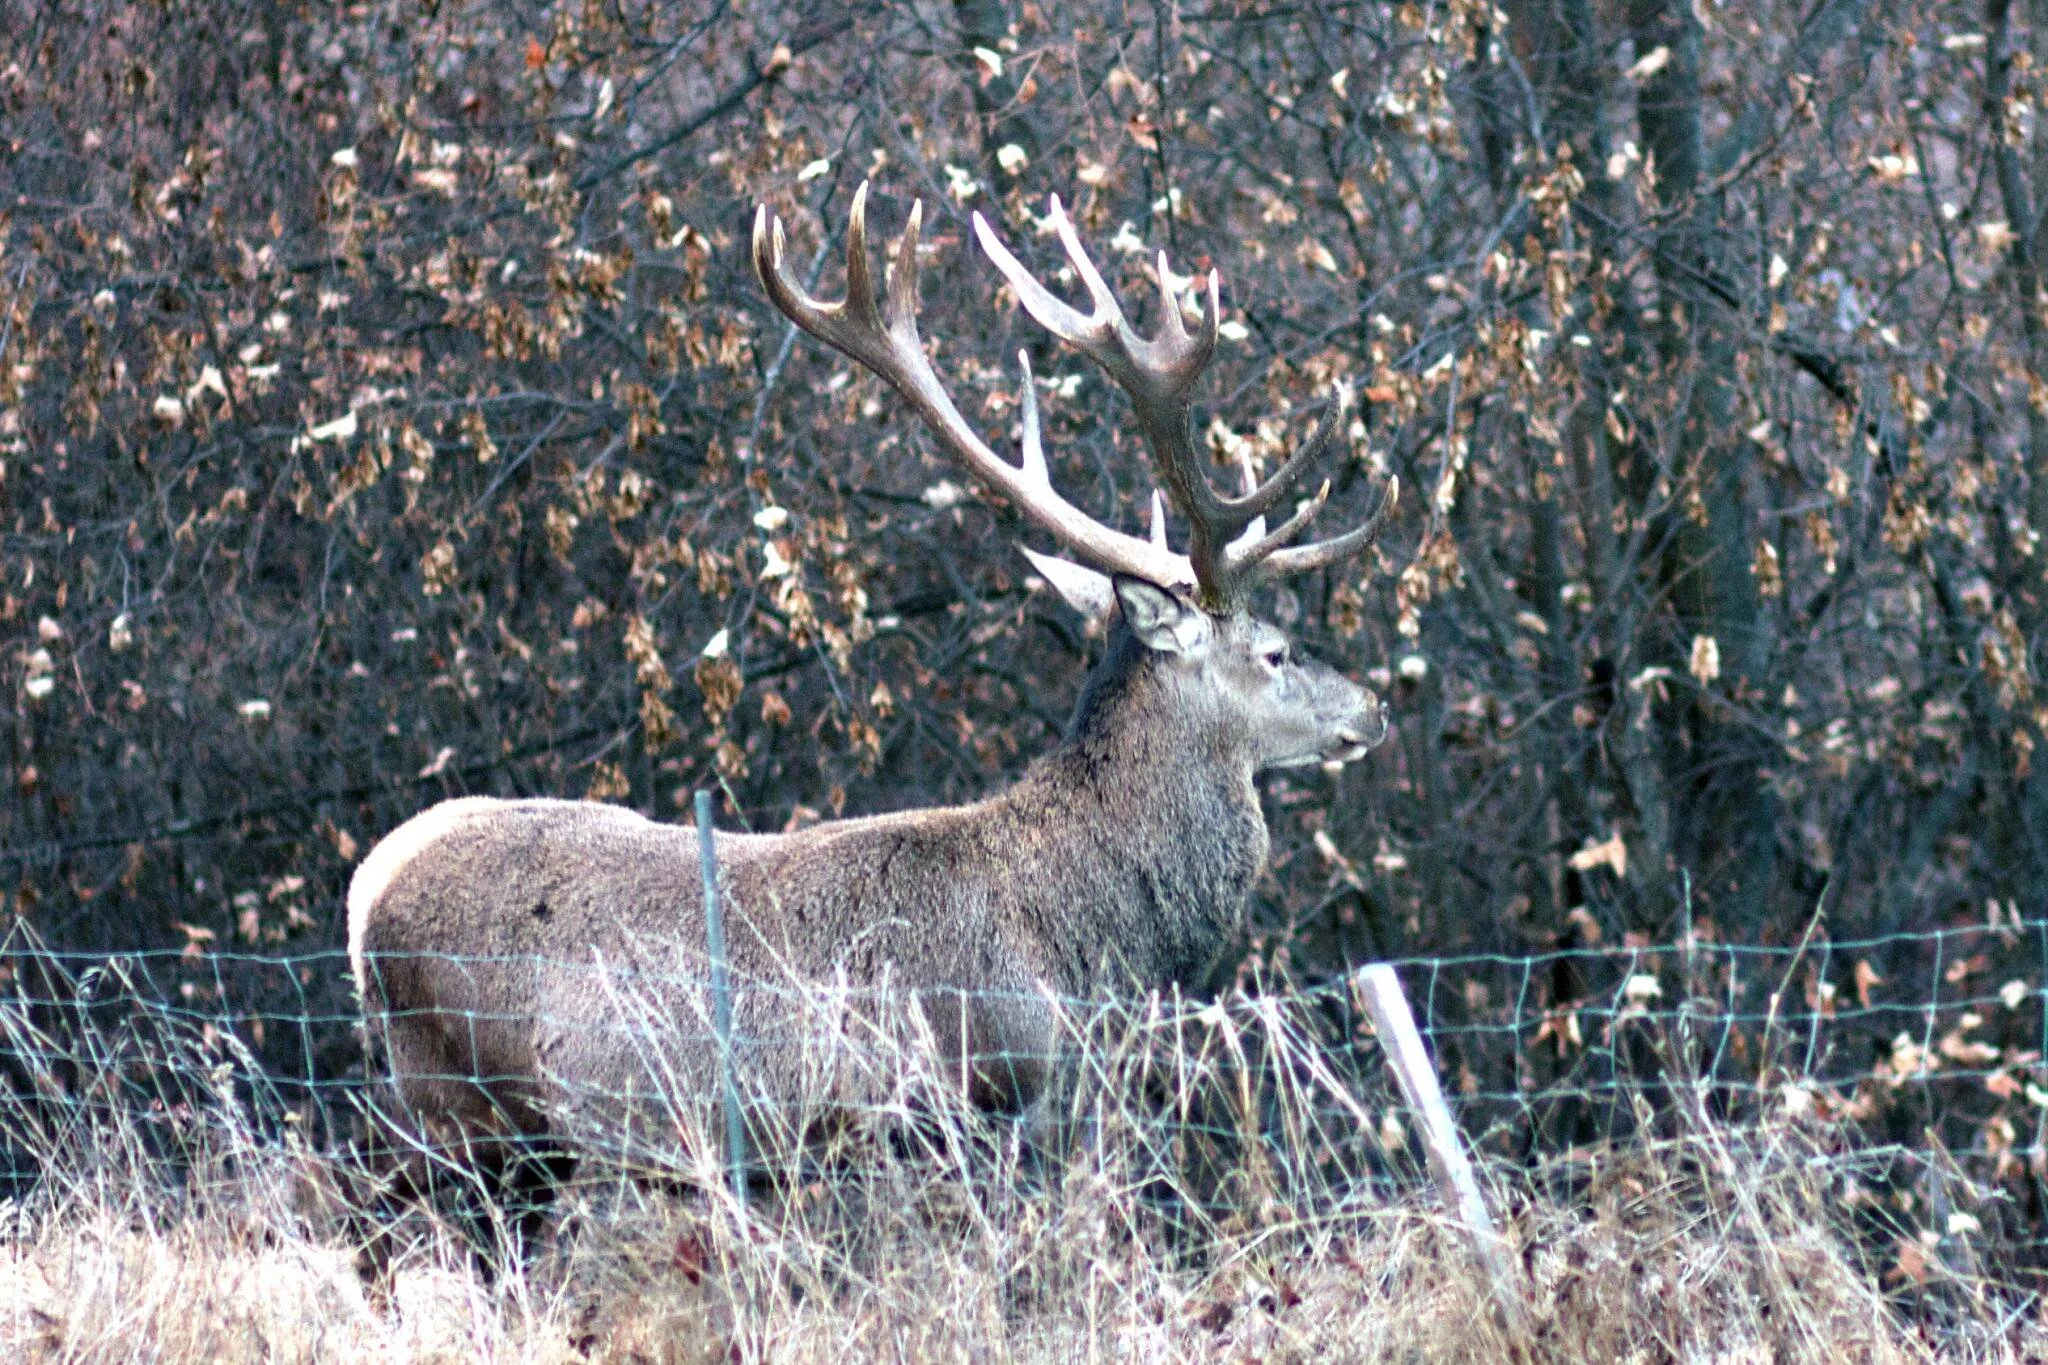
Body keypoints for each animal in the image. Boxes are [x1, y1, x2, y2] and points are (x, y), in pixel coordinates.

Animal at [347, 183, 1396, 1190]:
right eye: (1276, 650)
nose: (1373, 708)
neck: (1088, 942)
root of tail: (367, 890)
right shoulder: (965, 1102)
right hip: (463, 1112)